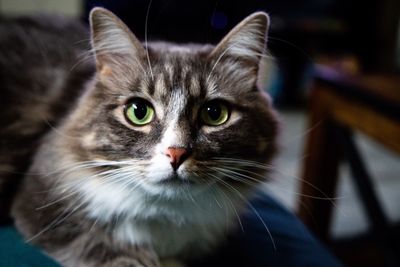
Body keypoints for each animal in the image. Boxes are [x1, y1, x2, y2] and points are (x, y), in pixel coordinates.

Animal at [0, 6, 278, 267]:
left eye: (214, 113)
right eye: (139, 111)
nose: (176, 153)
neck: (166, 217)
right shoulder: (40, 203)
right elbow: (108, 249)